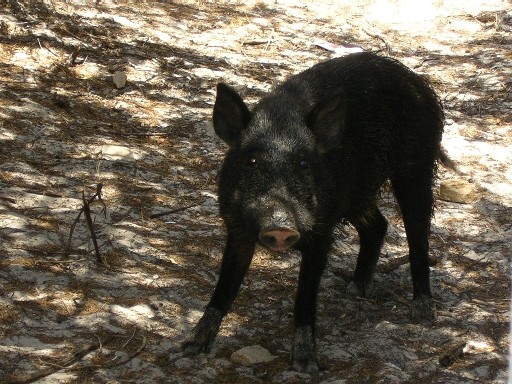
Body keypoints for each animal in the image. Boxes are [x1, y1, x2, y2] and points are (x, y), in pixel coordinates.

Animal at [181, 51, 444, 372]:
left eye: (304, 163)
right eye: (252, 161)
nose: (280, 225)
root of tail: (418, 82)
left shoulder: (321, 231)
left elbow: (305, 297)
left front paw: (305, 365)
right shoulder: (236, 226)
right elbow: (225, 283)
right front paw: (191, 346)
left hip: (417, 164)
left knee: (417, 236)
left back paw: (422, 314)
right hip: (356, 193)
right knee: (378, 225)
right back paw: (355, 290)